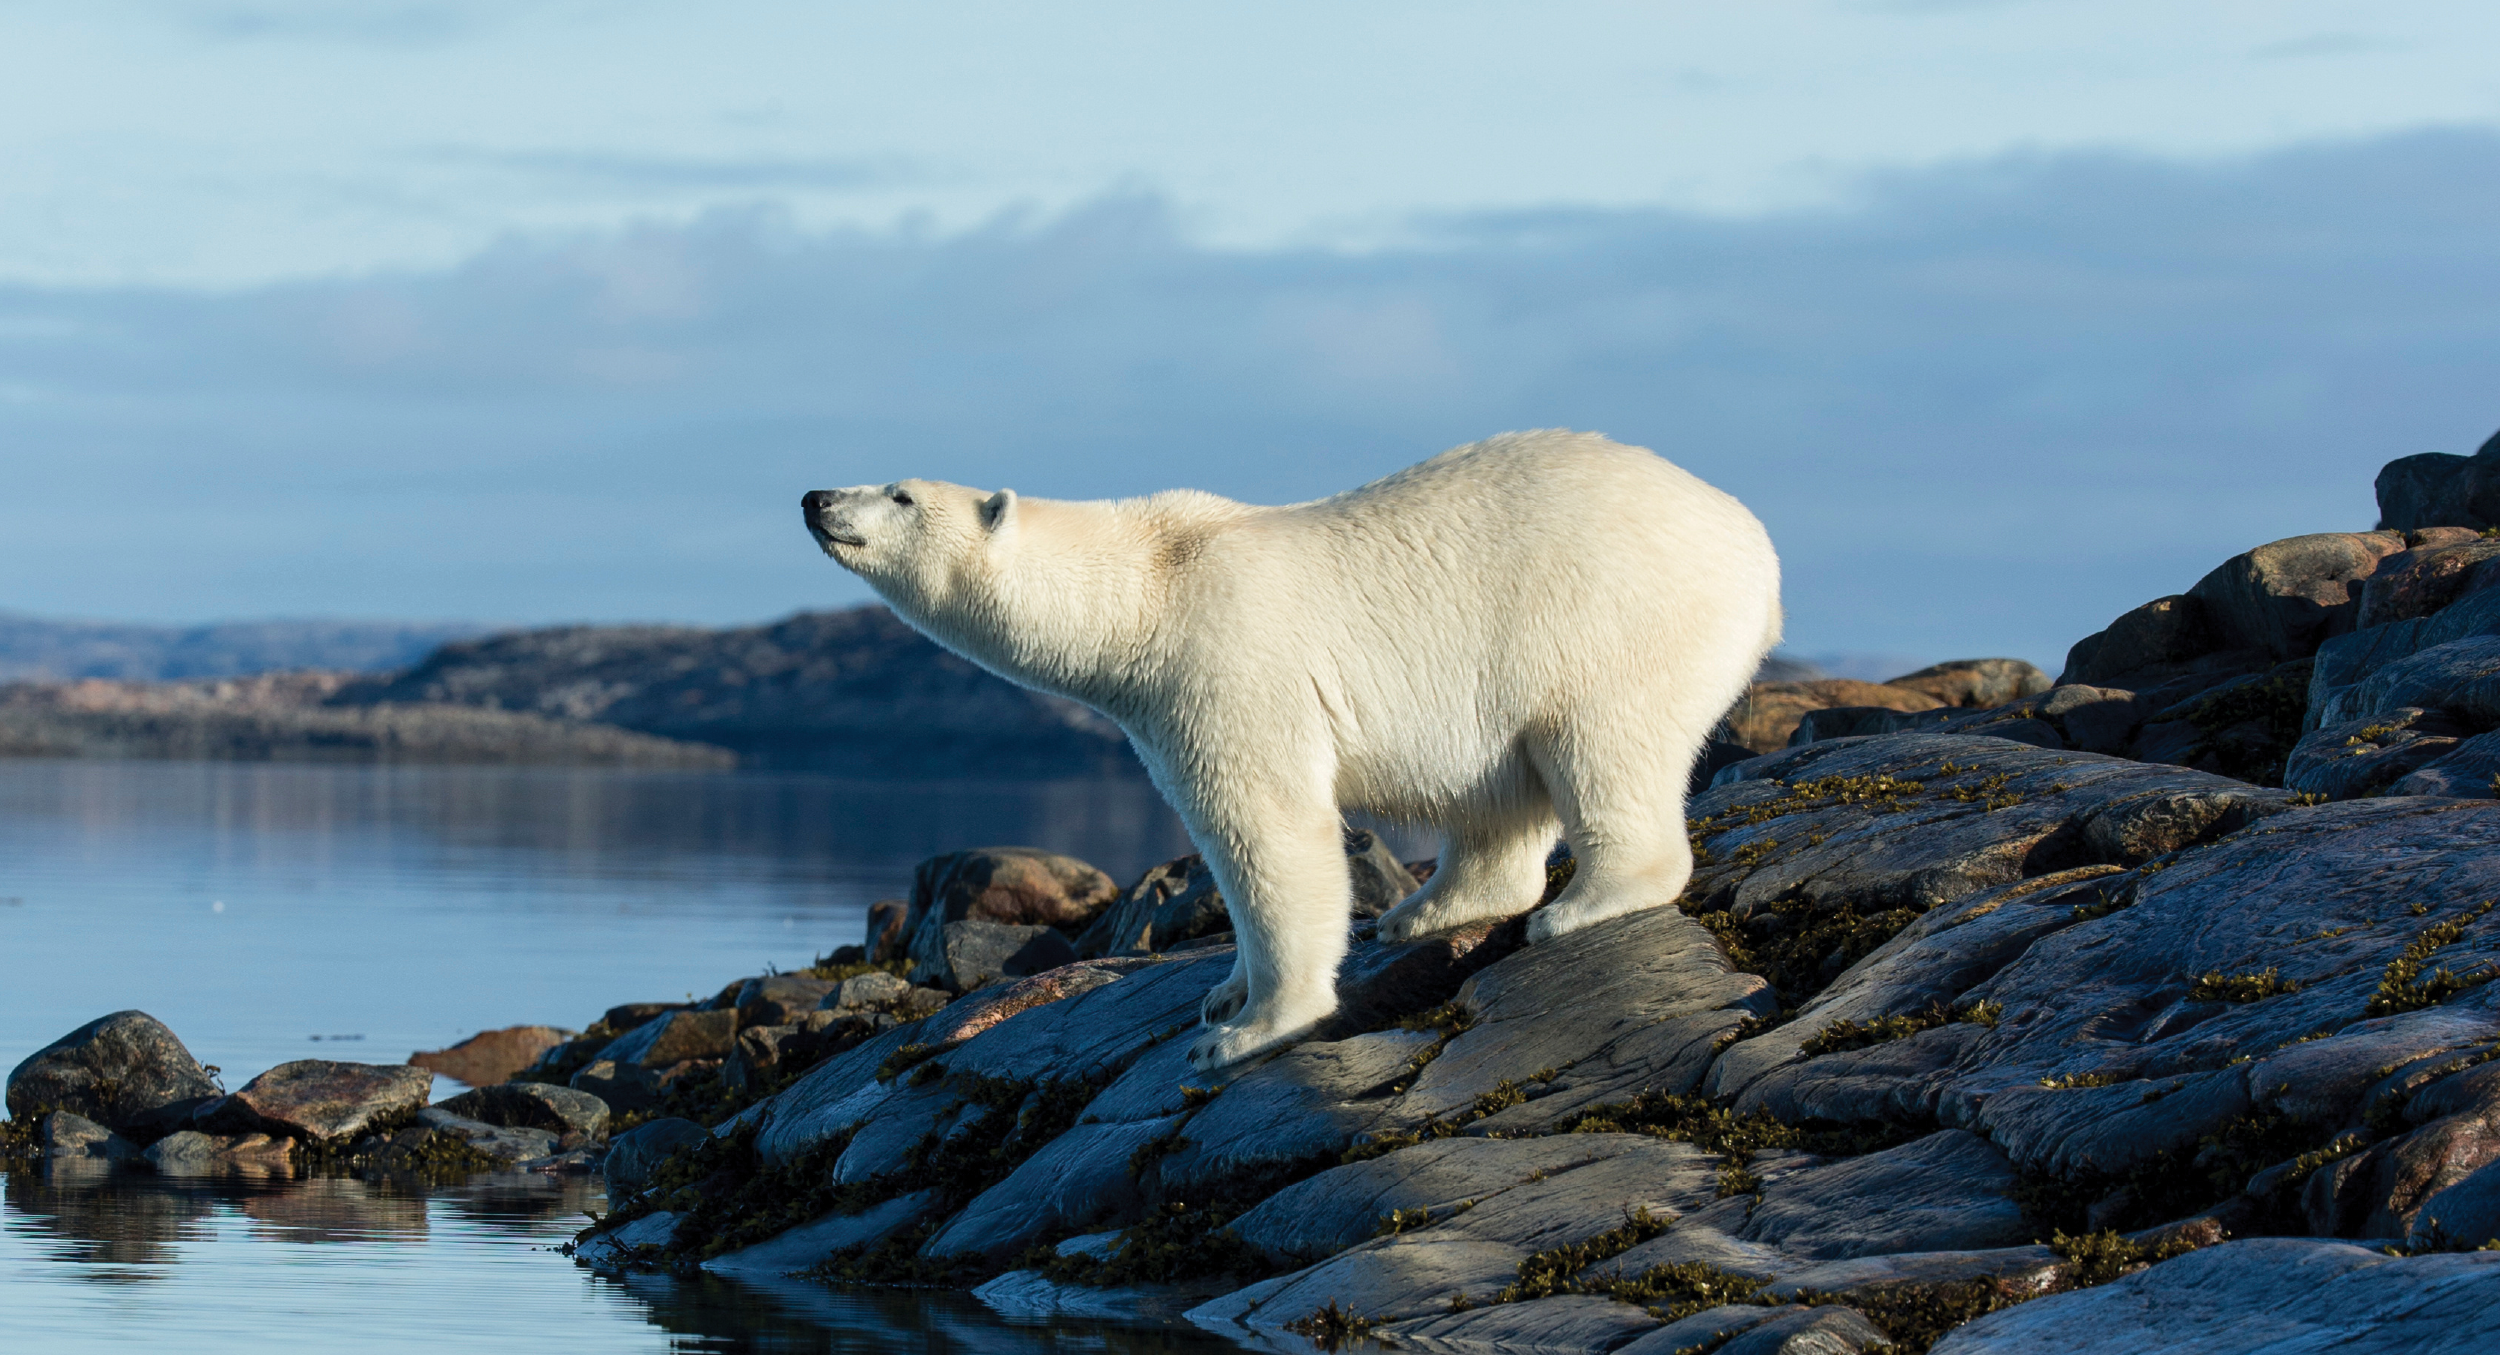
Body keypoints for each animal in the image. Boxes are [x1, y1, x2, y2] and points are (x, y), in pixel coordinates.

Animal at [803, 429, 1782, 1073]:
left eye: (901, 493)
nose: (816, 497)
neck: (1146, 588)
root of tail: (1758, 548)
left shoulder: (1226, 660)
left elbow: (1269, 829)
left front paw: (1245, 1029)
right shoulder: (1156, 706)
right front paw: (1223, 990)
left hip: (1608, 616)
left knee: (1601, 741)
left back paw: (1583, 905)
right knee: (1494, 793)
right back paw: (1425, 910)